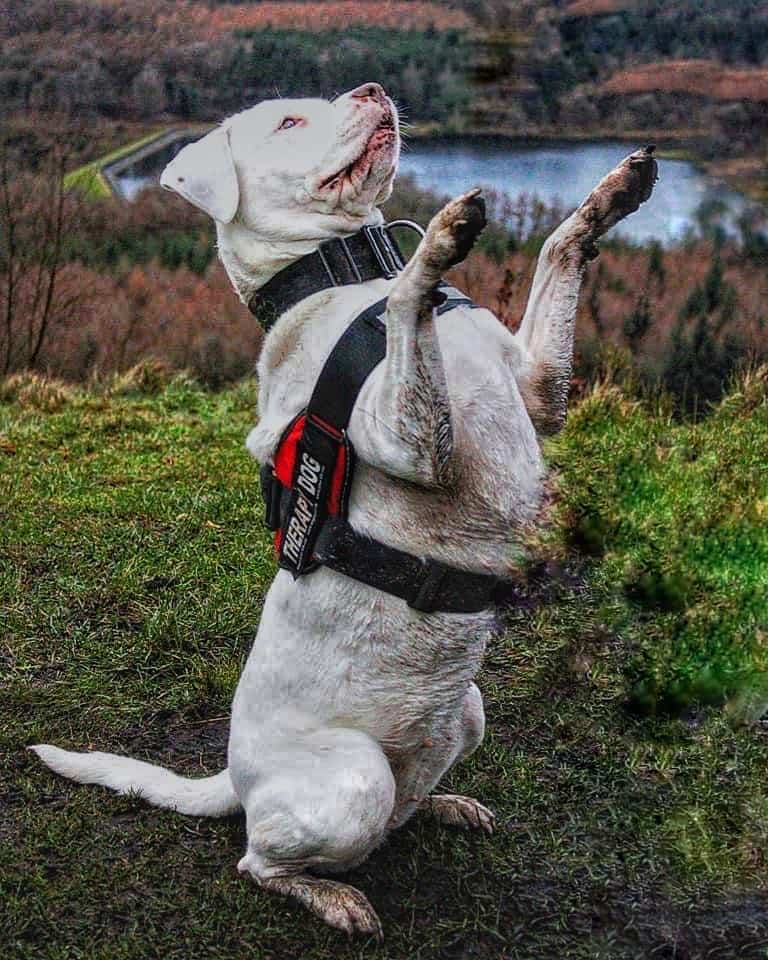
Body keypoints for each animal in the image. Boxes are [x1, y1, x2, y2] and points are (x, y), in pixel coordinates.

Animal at [30, 84, 656, 936]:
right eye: (290, 120)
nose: (373, 91)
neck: (345, 280)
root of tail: (235, 777)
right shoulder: (410, 444)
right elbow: (409, 300)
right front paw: (439, 244)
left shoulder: (538, 388)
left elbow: (558, 249)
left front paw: (613, 193)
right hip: (354, 781)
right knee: (263, 861)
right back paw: (332, 897)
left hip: (469, 710)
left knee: (400, 810)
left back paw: (444, 807)